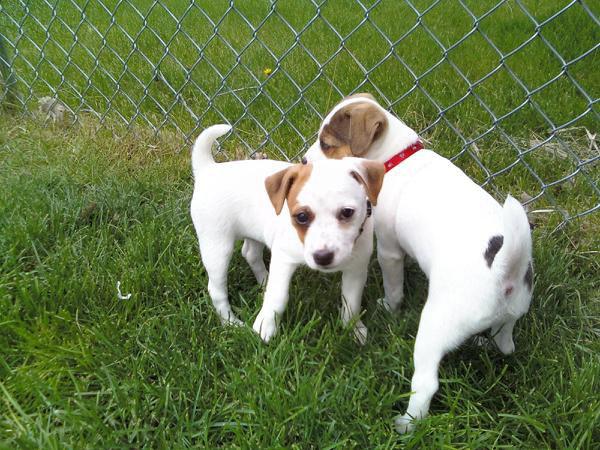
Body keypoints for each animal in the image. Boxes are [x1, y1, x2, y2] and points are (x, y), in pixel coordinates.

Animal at [190, 125, 382, 342]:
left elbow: (352, 302)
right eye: (301, 216)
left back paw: (264, 282)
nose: (323, 257)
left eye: (347, 212)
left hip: (253, 232)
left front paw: (354, 329)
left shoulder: (356, 269)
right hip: (217, 246)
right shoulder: (283, 258)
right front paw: (266, 325)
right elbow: (278, 296)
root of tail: (208, 169)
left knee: (250, 253)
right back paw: (230, 322)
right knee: (216, 289)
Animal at [304, 94, 536, 432]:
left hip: (433, 328)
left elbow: (394, 287)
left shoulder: (389, 250)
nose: (304, 162)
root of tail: (505, 270)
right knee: (505, 342)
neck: (397, 158)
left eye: (326, 144)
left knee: (427, 384)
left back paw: (406, 423)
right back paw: (485, 344)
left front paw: (390, 308)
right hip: (510, 318)